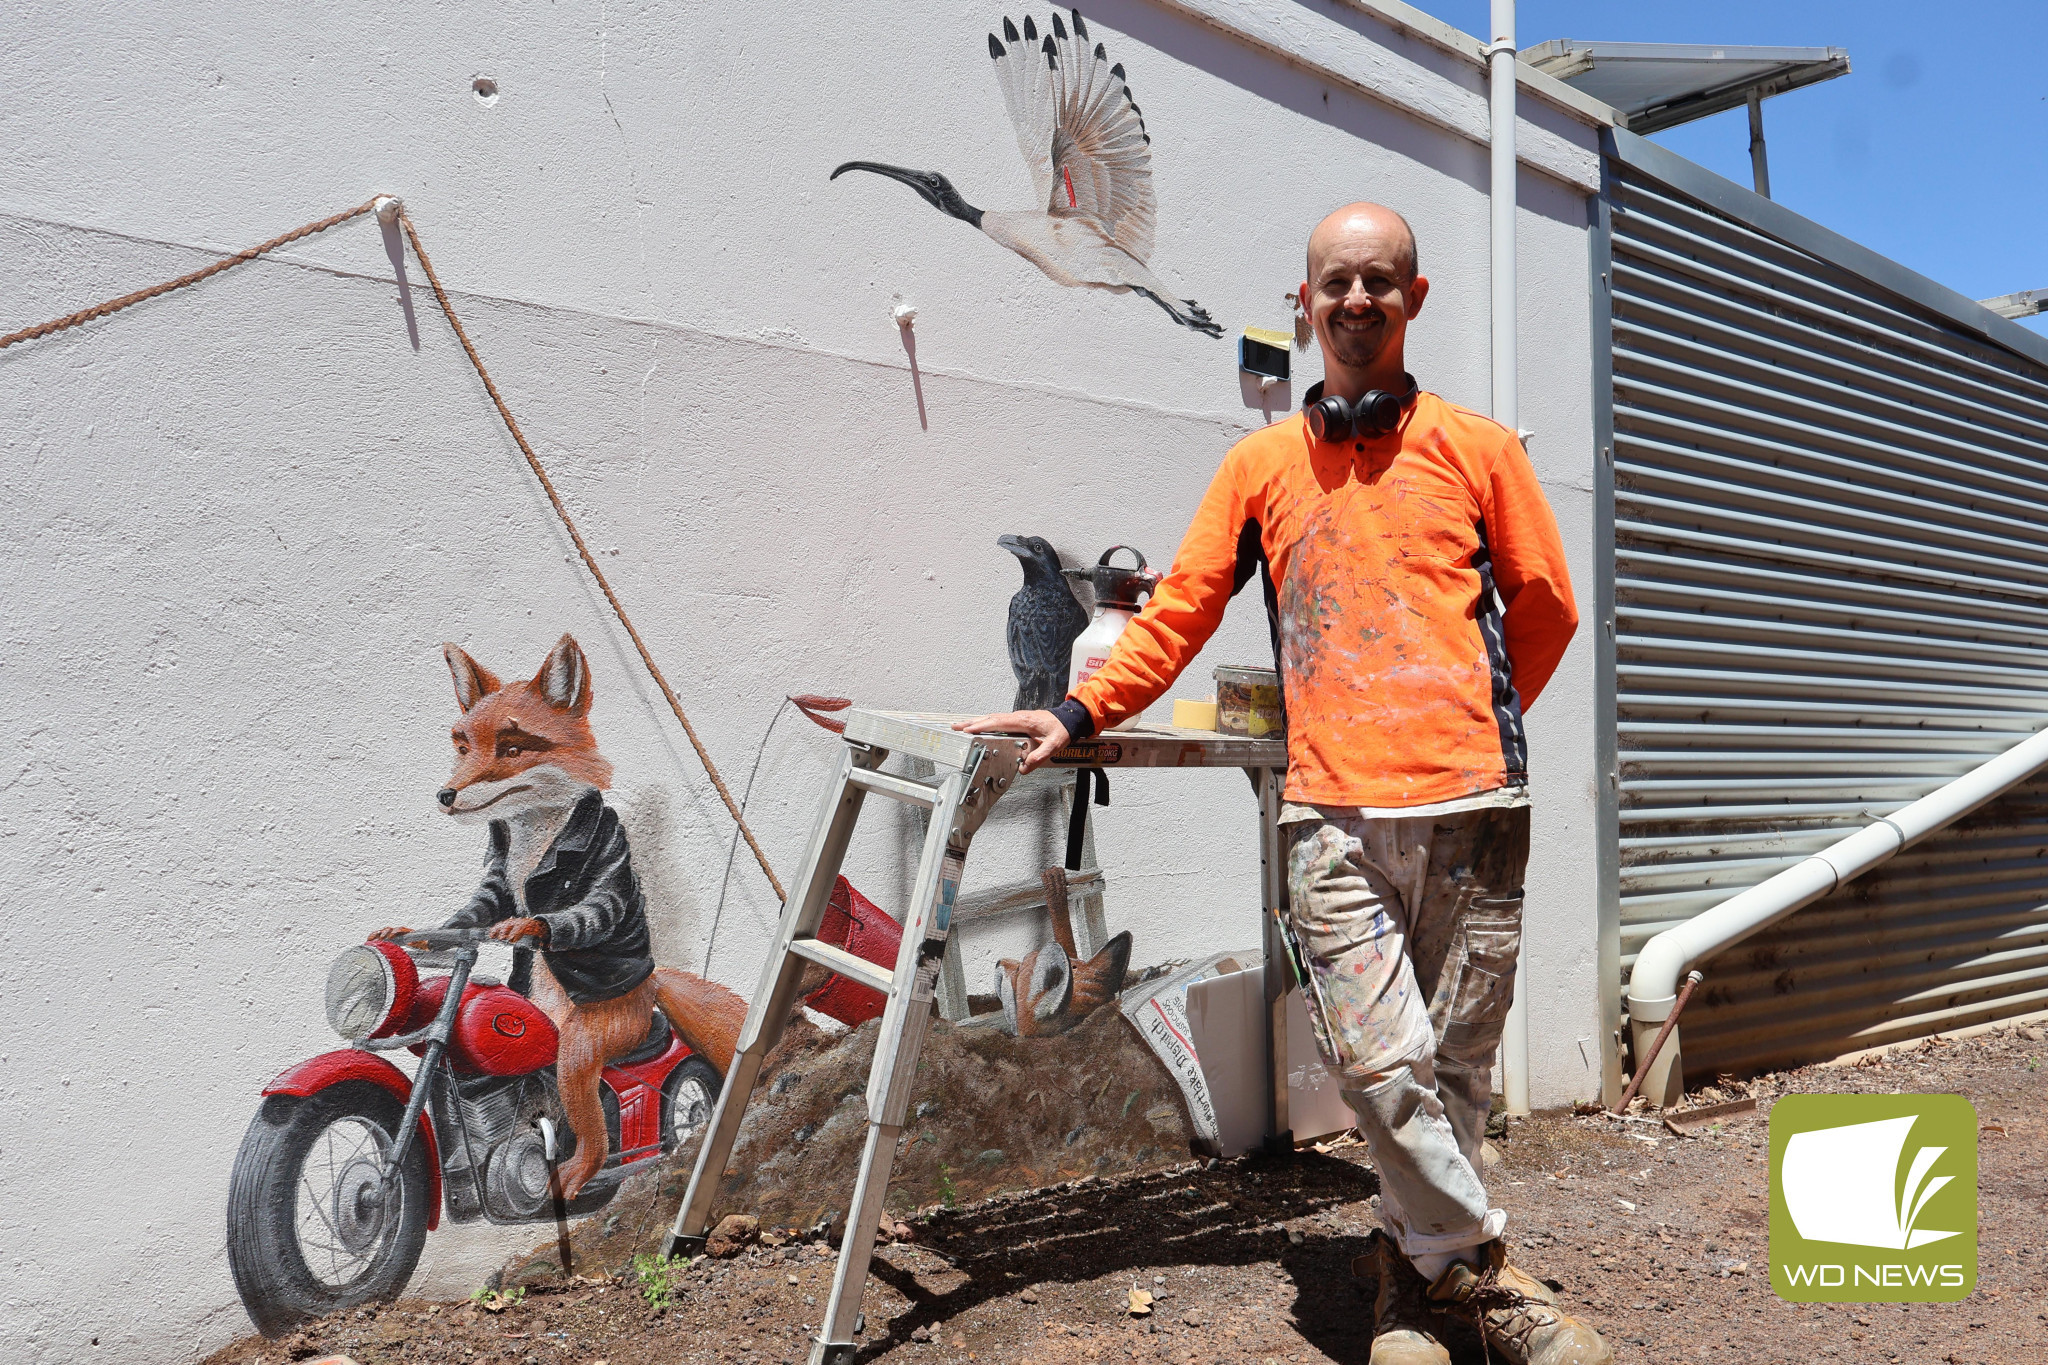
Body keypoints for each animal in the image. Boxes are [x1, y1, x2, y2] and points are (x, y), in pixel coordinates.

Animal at [374, 634, 745, 1203]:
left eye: (512, 749)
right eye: (462, 747)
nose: (446, 796)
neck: (536, 833)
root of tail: (656, 996)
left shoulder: (609, 850)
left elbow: (596, 905)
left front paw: (532, 926)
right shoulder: (498, 872)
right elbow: (484, 902)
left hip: (610, 1042)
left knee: (661, 1113)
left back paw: (585, 1174)